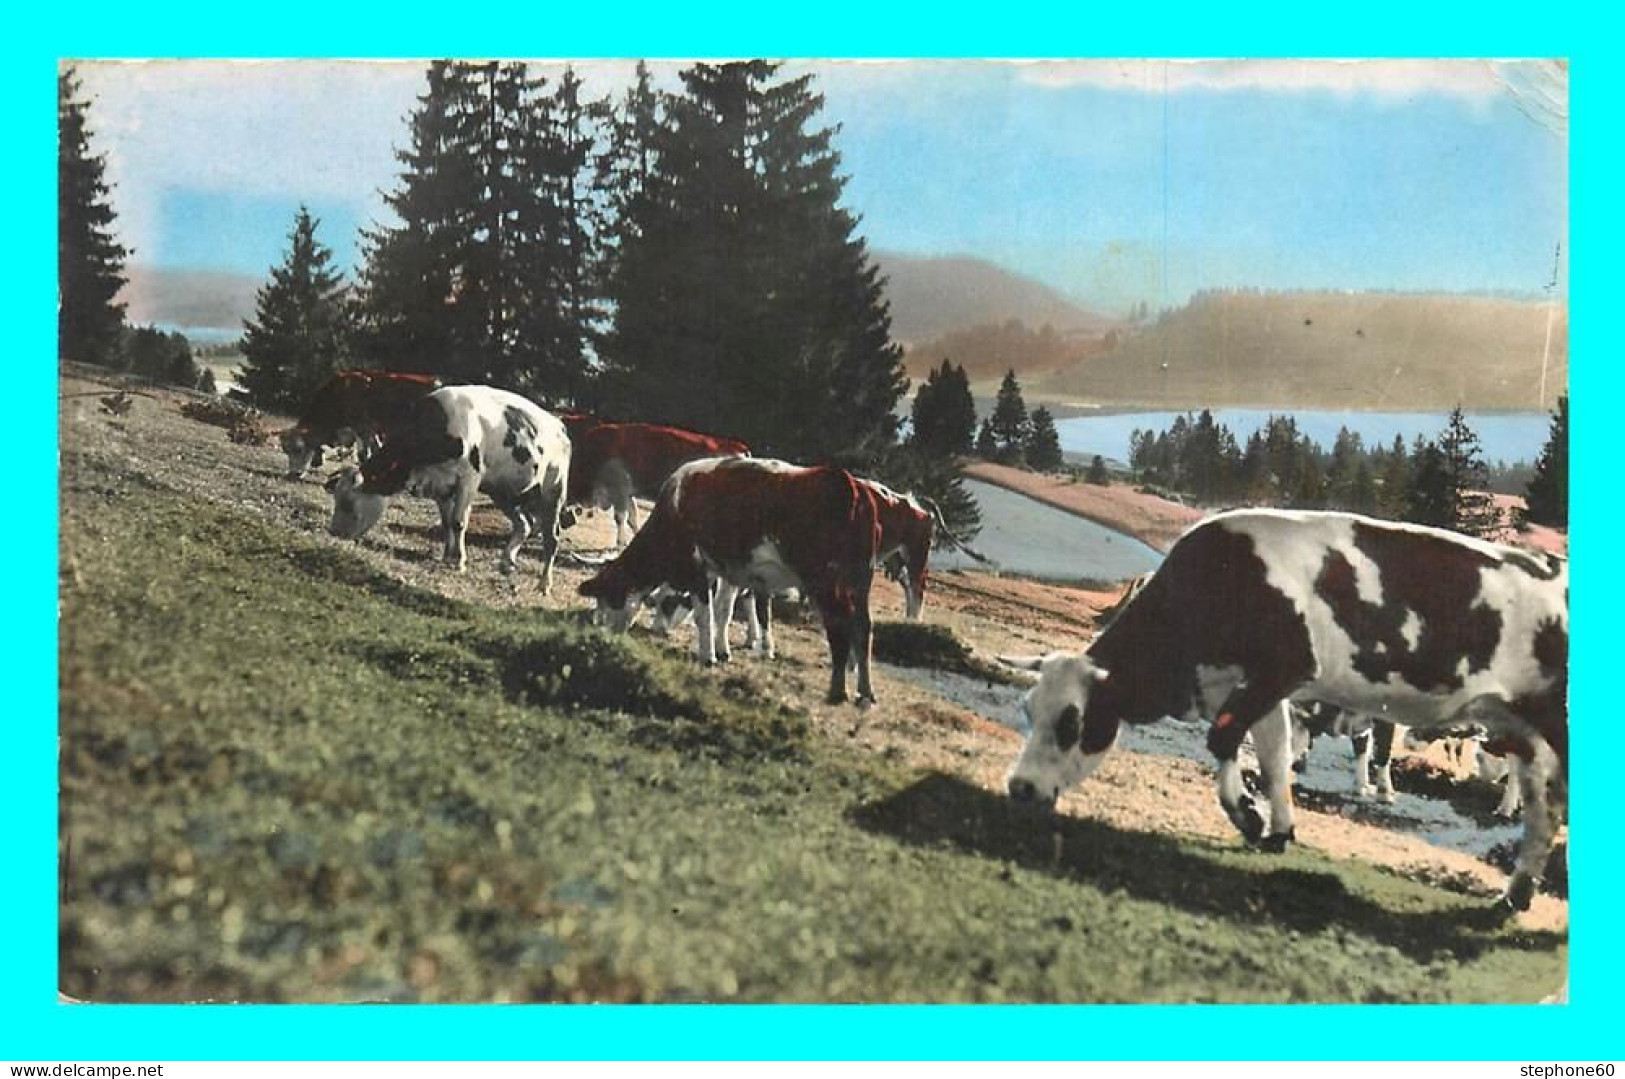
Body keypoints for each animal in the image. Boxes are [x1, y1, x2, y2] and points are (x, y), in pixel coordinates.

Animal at [277, 370, 442, 477]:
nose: (293, 474)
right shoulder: (370, 430)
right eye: (286, 450)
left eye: (298, 449)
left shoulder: (363, 427)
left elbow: (365, 453)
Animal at [323, 385, 572, 591]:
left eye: (348, 503)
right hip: (503, 493)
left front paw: (458, 561)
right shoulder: (439, 484)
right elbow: (446, 522)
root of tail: (559, 425)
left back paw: (544, 584)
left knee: (552, 537)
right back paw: (506, 563)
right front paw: (446, 556)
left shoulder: (469, 478)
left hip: (553, 490)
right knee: (524, 524)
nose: (334, 532)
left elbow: (459, 521)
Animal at [568, 414, 750, 549]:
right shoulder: (629, 493)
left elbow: (620, 517)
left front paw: (620, 543)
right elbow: (632, 517)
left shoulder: (619, 489)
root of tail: (738, 447)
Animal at [581, 458, 890, 705]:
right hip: (860, 581)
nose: (600, 634)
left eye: (607, 599)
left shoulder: (699, 568)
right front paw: (722, 650)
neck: (676, 506)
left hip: (825, 582)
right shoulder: (728, 572)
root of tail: (849, 484)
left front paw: (708, 657)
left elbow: (704, 615)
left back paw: (837, 691)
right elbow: (723, 611)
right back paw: (866, 693)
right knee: (863, 627)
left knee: (840, 628)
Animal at [994, 510, 1566, 916]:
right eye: (1028, 710)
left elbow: (1225, 741)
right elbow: (1270, 756)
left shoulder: (1281, 669)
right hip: (1523, 732)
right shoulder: (1252, 688)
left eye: (1072, 721)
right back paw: (1514, 895)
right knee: (1544, 807)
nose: (1019, 788)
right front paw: (1278, 829)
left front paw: (1247, 815)